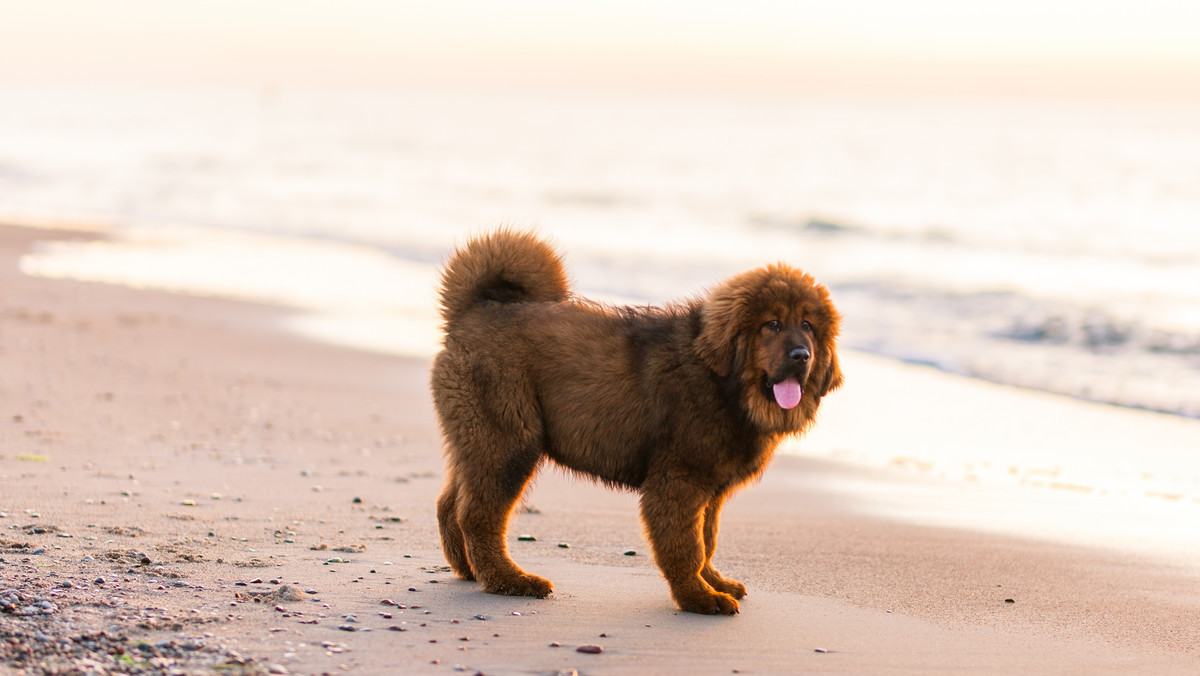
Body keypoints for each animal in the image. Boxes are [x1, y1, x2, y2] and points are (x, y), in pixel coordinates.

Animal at [434, 230, 844, 614]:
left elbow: (707, 539)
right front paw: (698, 597)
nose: (801, 355)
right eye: (771, 324)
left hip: (478, 438)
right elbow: (687, 546)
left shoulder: (709, 488)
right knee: (479, 514)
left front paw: (713, 582)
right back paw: (508, 579)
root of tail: (475, 308)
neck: (723, 383)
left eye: (808, 325)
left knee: (450, 503)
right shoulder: (678, 482)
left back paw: (468, 569)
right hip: (507, 442)